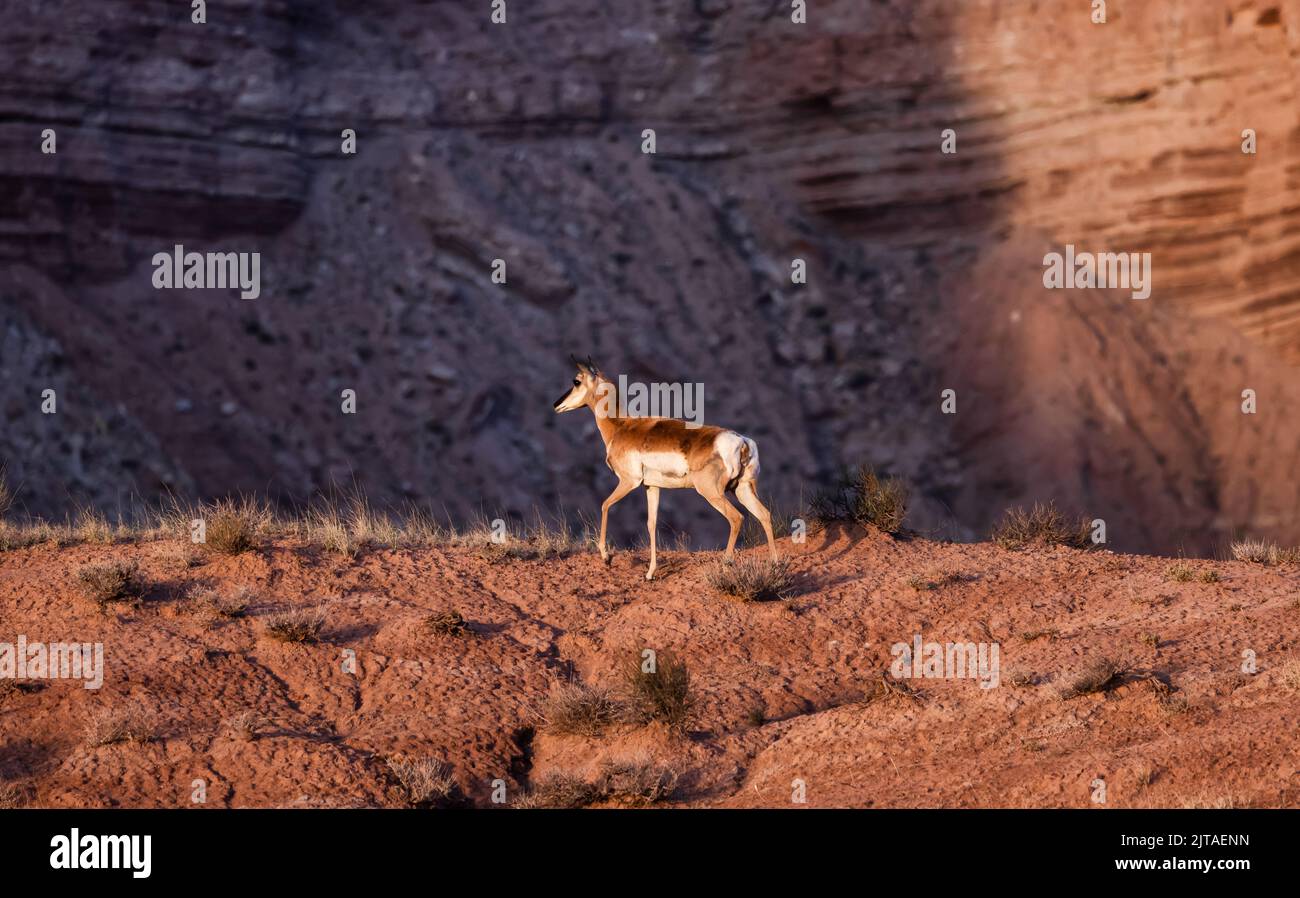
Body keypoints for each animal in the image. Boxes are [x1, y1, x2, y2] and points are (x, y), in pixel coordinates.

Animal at [553, 358, 774, 582]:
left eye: (576, 381)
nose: (556, 405)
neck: (621, 426)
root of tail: (742, 441)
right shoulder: (651, 487)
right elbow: (651, 523)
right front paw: (650, 573)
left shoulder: (629, 482)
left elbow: (605, 505)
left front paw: (606, 557)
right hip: (742, 490)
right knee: (764, 514)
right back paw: (774, 564)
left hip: (712, 493)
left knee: (736, 518)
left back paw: (726, 565)